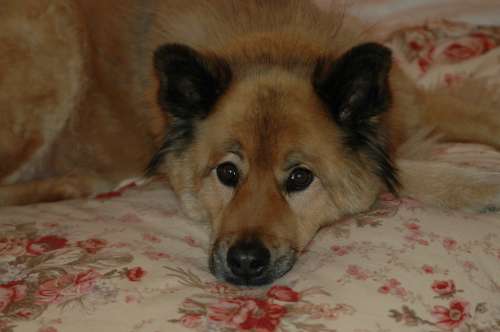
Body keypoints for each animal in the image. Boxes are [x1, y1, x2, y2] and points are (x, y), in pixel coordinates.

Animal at [0, 0, 500, 286]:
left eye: (299, 178)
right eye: (227, 172)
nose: (243, 262)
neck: (274, 45)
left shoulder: (422, 108)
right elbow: (393, 174)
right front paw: (479, 185)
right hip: (54, 55)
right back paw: (76, 183)